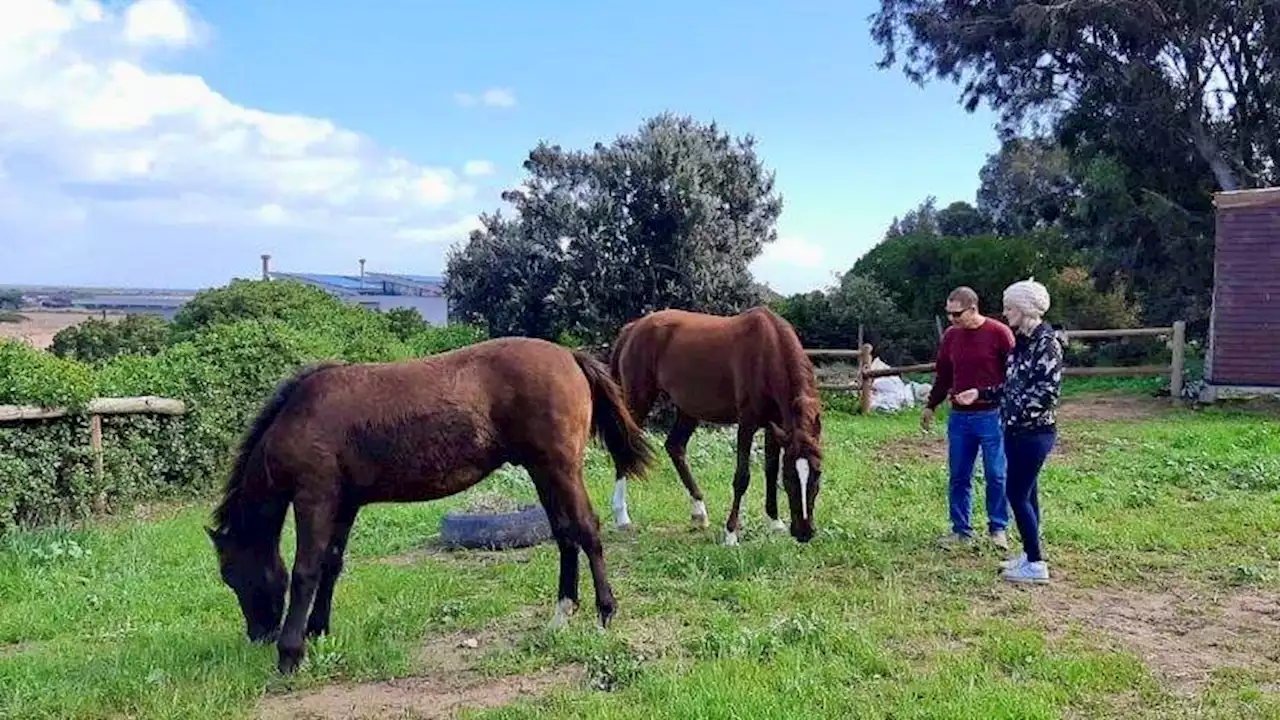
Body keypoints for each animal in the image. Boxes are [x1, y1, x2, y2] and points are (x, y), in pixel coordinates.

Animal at [208, 335, 655, 671]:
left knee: (586, 528)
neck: (301, 416)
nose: (259, 635)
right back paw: (561, 615)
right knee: (565, 534)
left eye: (231, 574)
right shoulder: (345, 504)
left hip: (559, 468)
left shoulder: (314, 498)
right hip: (542, 471)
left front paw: (291, 653)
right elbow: (331, 565)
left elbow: (305, 571)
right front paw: (318, 630)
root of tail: (570, 356)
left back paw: (605, 612)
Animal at [606, 302, 824, 543]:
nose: (804, 532)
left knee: (675, 447)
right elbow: (742, 477)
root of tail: (633, 328)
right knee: (624, 448)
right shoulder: (747, 424)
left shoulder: (775, 426)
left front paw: (774, 522)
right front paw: (730, 533)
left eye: (818, 473)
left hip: (688, 409)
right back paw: (622, 516)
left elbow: (770, 470)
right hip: (638, 401)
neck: (769, 350)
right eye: (790, 477)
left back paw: (699, 512)